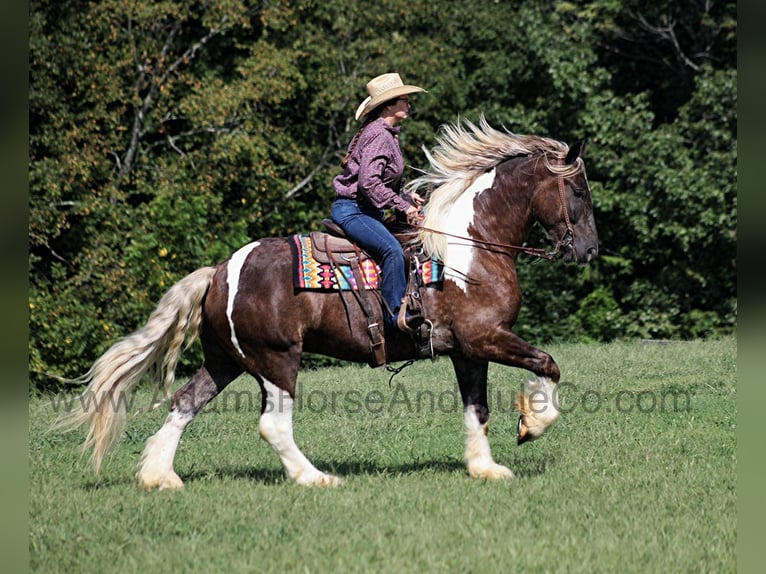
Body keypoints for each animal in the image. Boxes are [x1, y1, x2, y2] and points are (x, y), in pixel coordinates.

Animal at [55, 117, 599, 489]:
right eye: (576, 189)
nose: (589, 250)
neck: (468, 249)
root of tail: (220, 272)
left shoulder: (467, 350)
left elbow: (477, 408)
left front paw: (485, 467)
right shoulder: (486, 338)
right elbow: (547, 364)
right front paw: (531, 425)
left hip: (226, 359)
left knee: (184, 403)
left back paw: (159, 477)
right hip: (277, 360)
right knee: (272, 424)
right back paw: (315, 478)